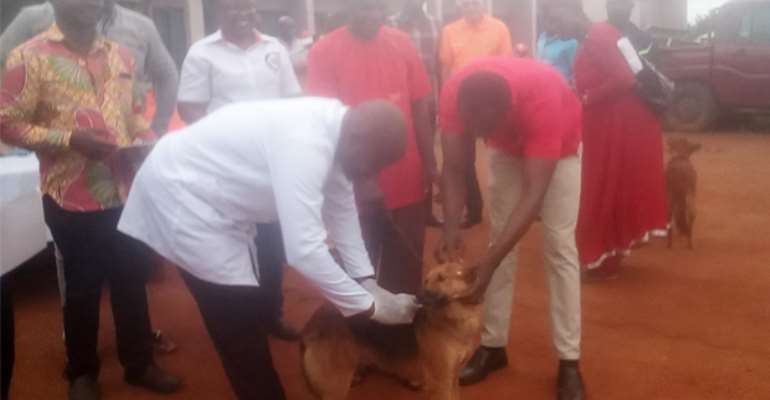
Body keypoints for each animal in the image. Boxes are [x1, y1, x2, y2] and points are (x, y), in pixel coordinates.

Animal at [300, 262, 480, 400]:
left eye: (442, 278)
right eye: (426, 280)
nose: (417, 296)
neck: (456, 318)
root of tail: (312, 322)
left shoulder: (453, 376)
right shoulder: (441, 381)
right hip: (337, 384)